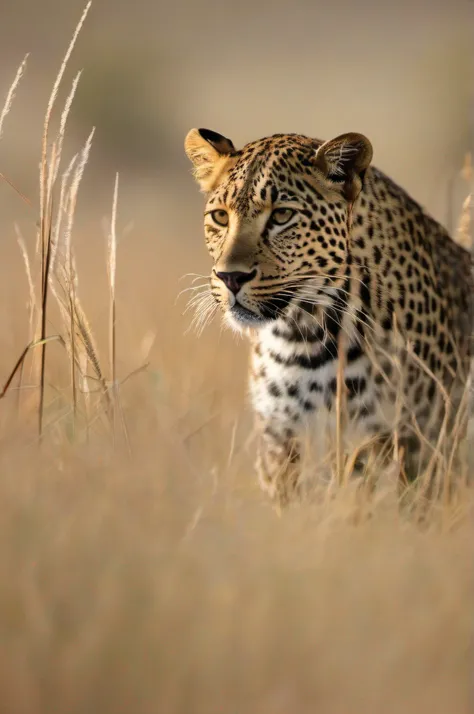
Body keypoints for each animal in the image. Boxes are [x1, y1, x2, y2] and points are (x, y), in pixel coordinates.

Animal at [183, 129, 472, 506]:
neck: (301, 335)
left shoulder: (404, 441)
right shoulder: (280, 441)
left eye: (282, 216)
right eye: (220, 217)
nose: (230, 277)